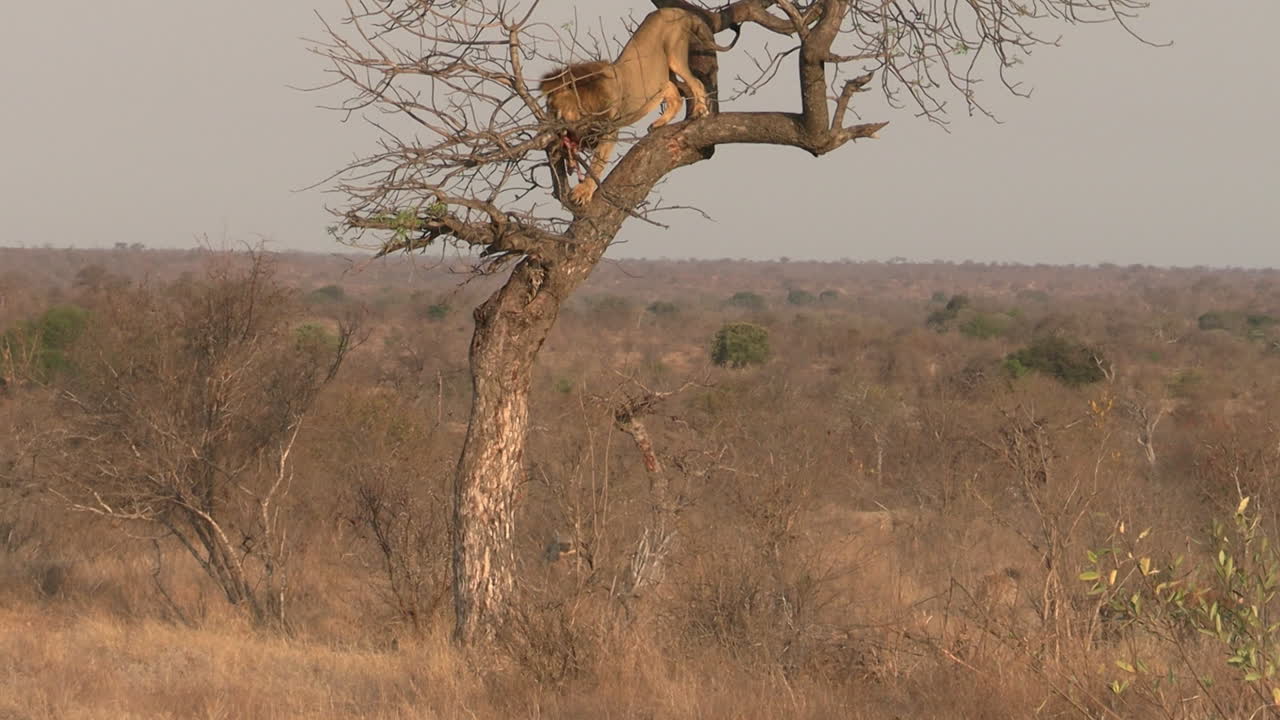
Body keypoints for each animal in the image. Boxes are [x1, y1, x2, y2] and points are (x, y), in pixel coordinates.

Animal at [540, 8, 737, 206]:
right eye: (548, 108)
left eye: (554, 108)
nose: (546, 123)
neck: (585, 105)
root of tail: (676, 9)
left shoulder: (610, 131)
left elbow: (596, 164)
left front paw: (583, 191)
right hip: (659, 77)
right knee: (677, 94)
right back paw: (659, 123)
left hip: (674, 54)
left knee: (696, 83)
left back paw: (699, 111)